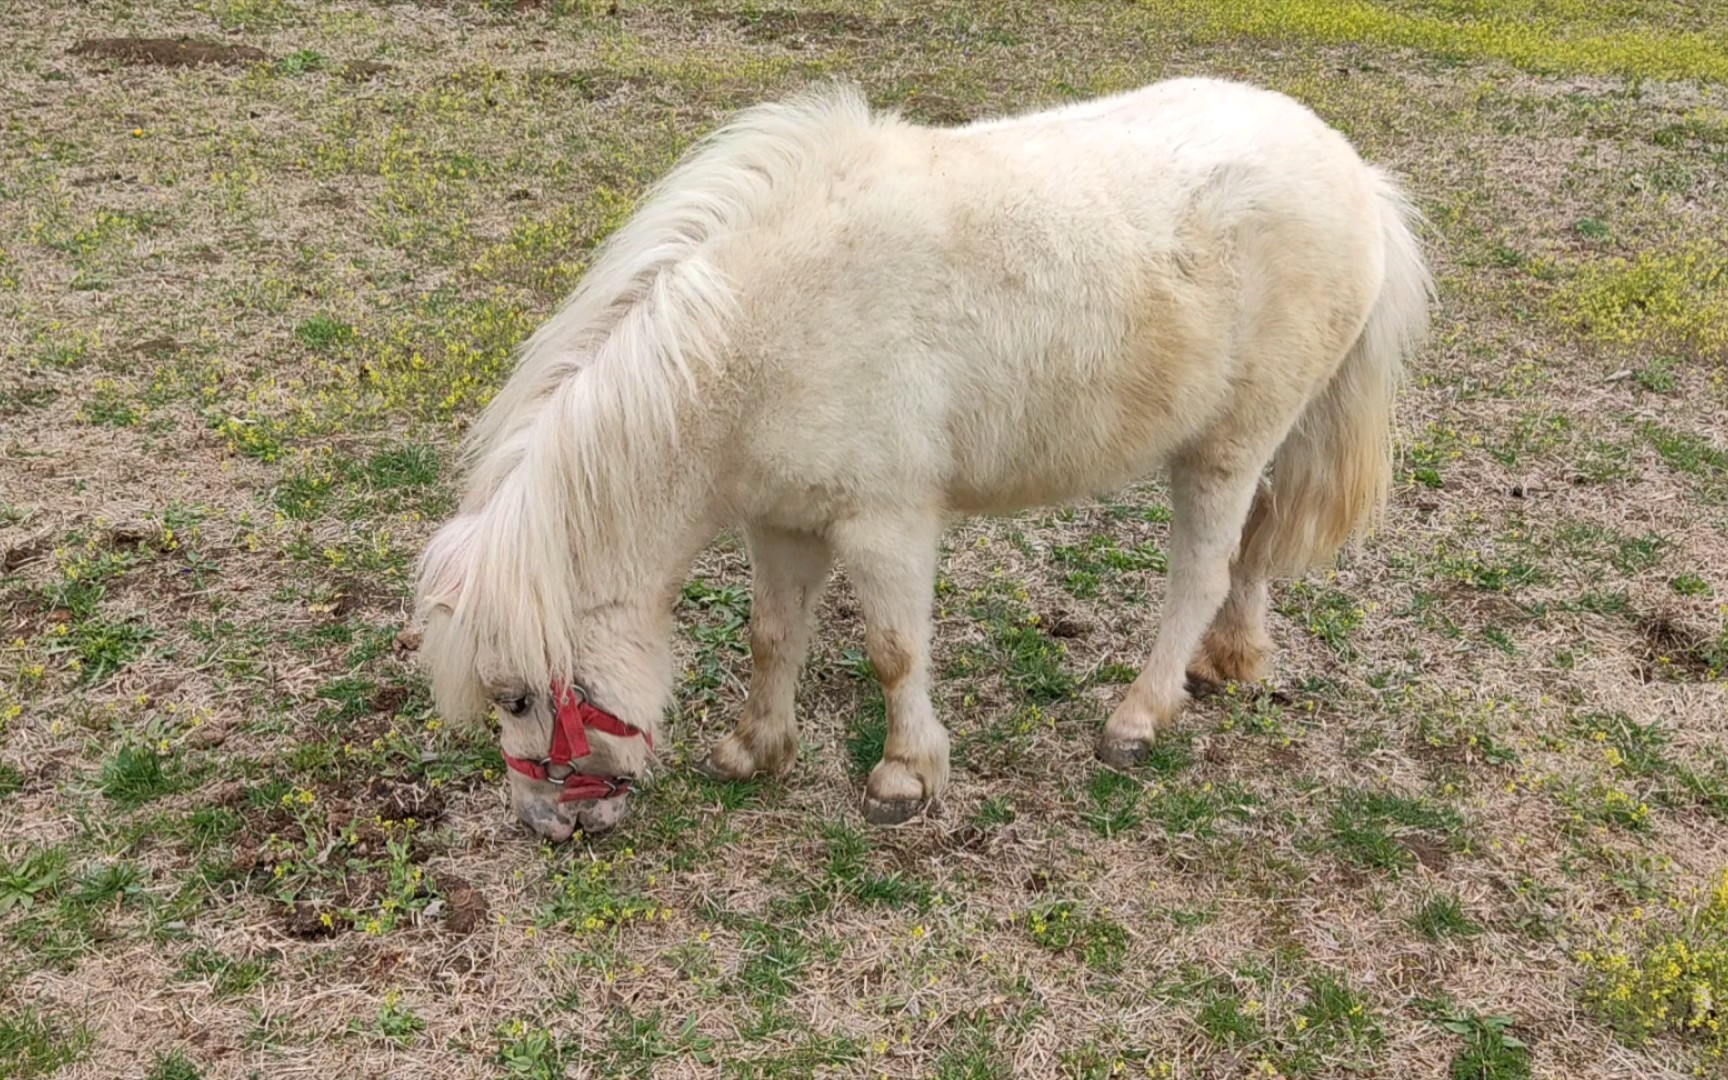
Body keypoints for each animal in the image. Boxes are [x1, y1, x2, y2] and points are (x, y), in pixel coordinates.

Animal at [413, 77, 1433, 842]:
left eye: (514, 698)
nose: (548, 825)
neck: (750, 340)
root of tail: (1356, 174)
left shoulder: (885, 522)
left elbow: (894, 651)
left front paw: (903, 777)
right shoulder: (782, 521)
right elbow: (773, 634)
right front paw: (756, 750)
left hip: (1224, 447)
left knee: (1205, 569)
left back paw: (1139, 716)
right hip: (1263, 438)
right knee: (1258, 546)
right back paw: (1233, 659)